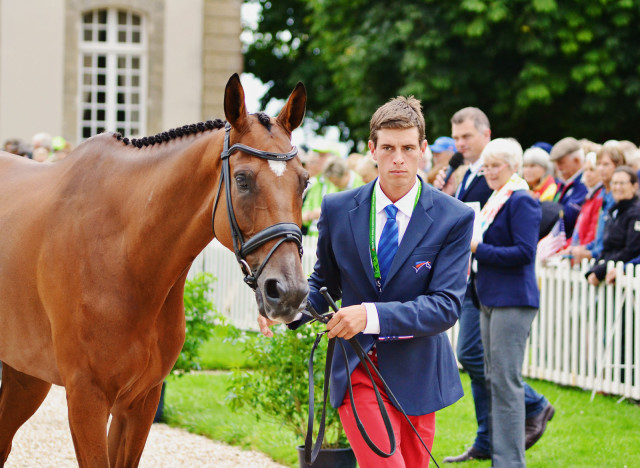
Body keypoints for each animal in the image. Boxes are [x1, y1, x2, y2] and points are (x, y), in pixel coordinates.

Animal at [0, 75, 310, 466]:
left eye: (304, 181)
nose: (289, 292)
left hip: (25, 376)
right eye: (242, 179)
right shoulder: (86, 399)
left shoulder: (140, 402)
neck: (125, 256)